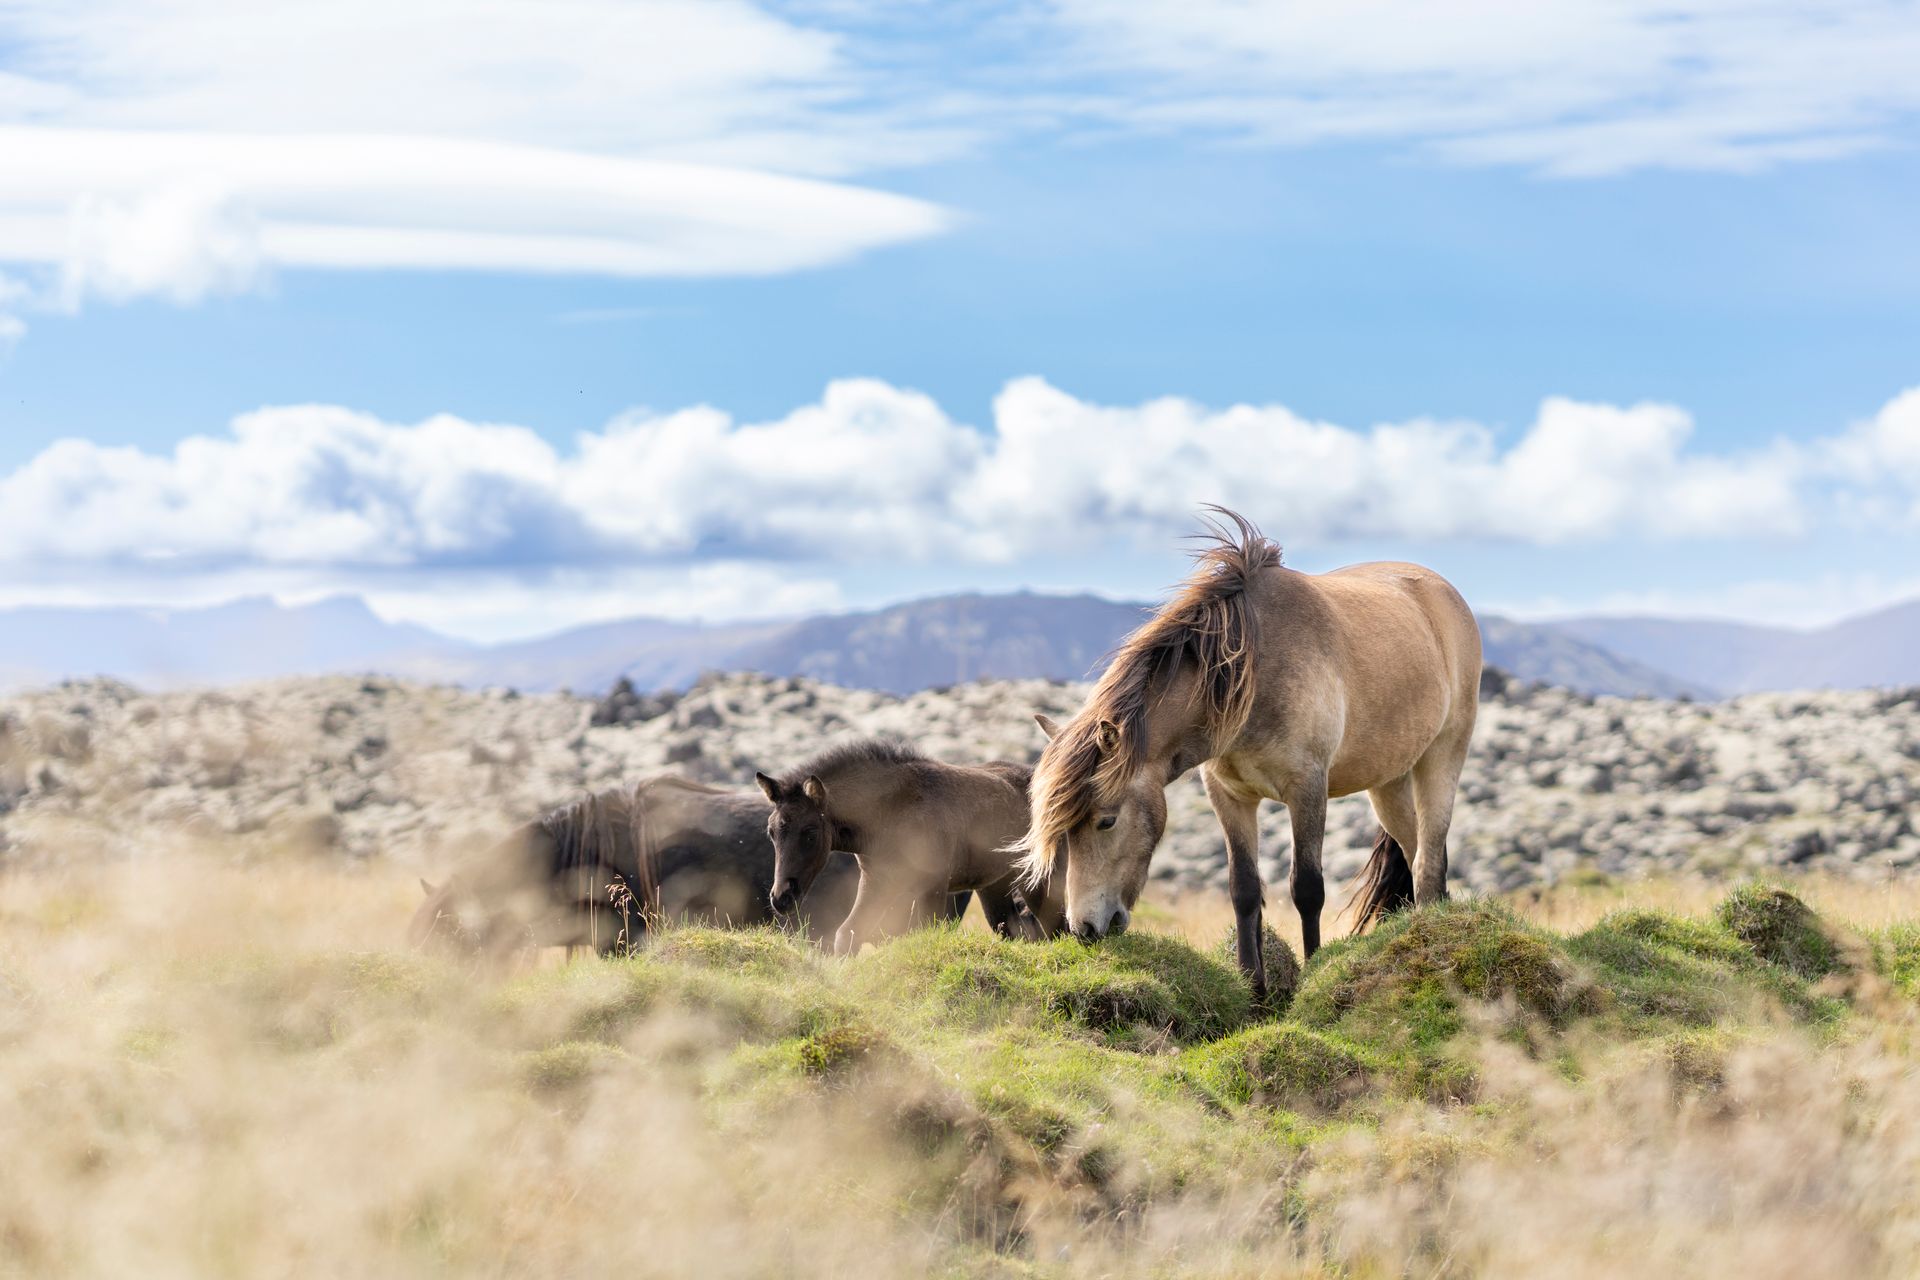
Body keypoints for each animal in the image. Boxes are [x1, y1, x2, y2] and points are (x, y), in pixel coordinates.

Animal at [755, 737, 1066, 955]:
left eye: (810, 833)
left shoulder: (934, 883)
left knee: (1057, 927)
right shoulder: (877, 880)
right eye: (771, 832)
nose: (781, 898)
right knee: (1019, 930)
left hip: (1038, 877)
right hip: (995, 885)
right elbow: (848, 935)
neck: (888, 814)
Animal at [1018, 507, 1480, 1002]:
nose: (1085, 927)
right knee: (1417, 856)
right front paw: (1253, 990)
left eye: (1106, 820)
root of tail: (1443, 592)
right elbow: (1243, 888)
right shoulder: (1229, 796)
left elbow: (1307, 888)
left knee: (1429, 863)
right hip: (1388, 784)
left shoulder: (1307, 789)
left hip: (1442, 756)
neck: (1253, 673)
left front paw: (1310, 977)